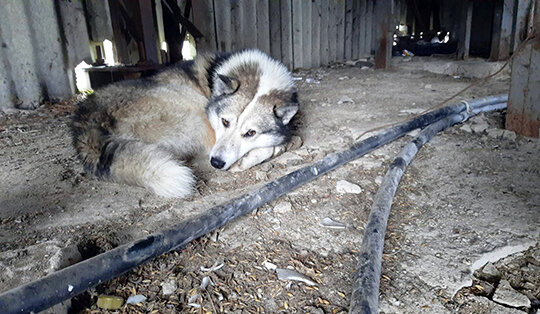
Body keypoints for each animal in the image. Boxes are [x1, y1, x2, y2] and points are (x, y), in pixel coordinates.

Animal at [71, 49, 298, 197]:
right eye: (225, 122)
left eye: (250, 133)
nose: (217, 163)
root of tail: (86, 120)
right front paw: (280, 145)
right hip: (193, 106)